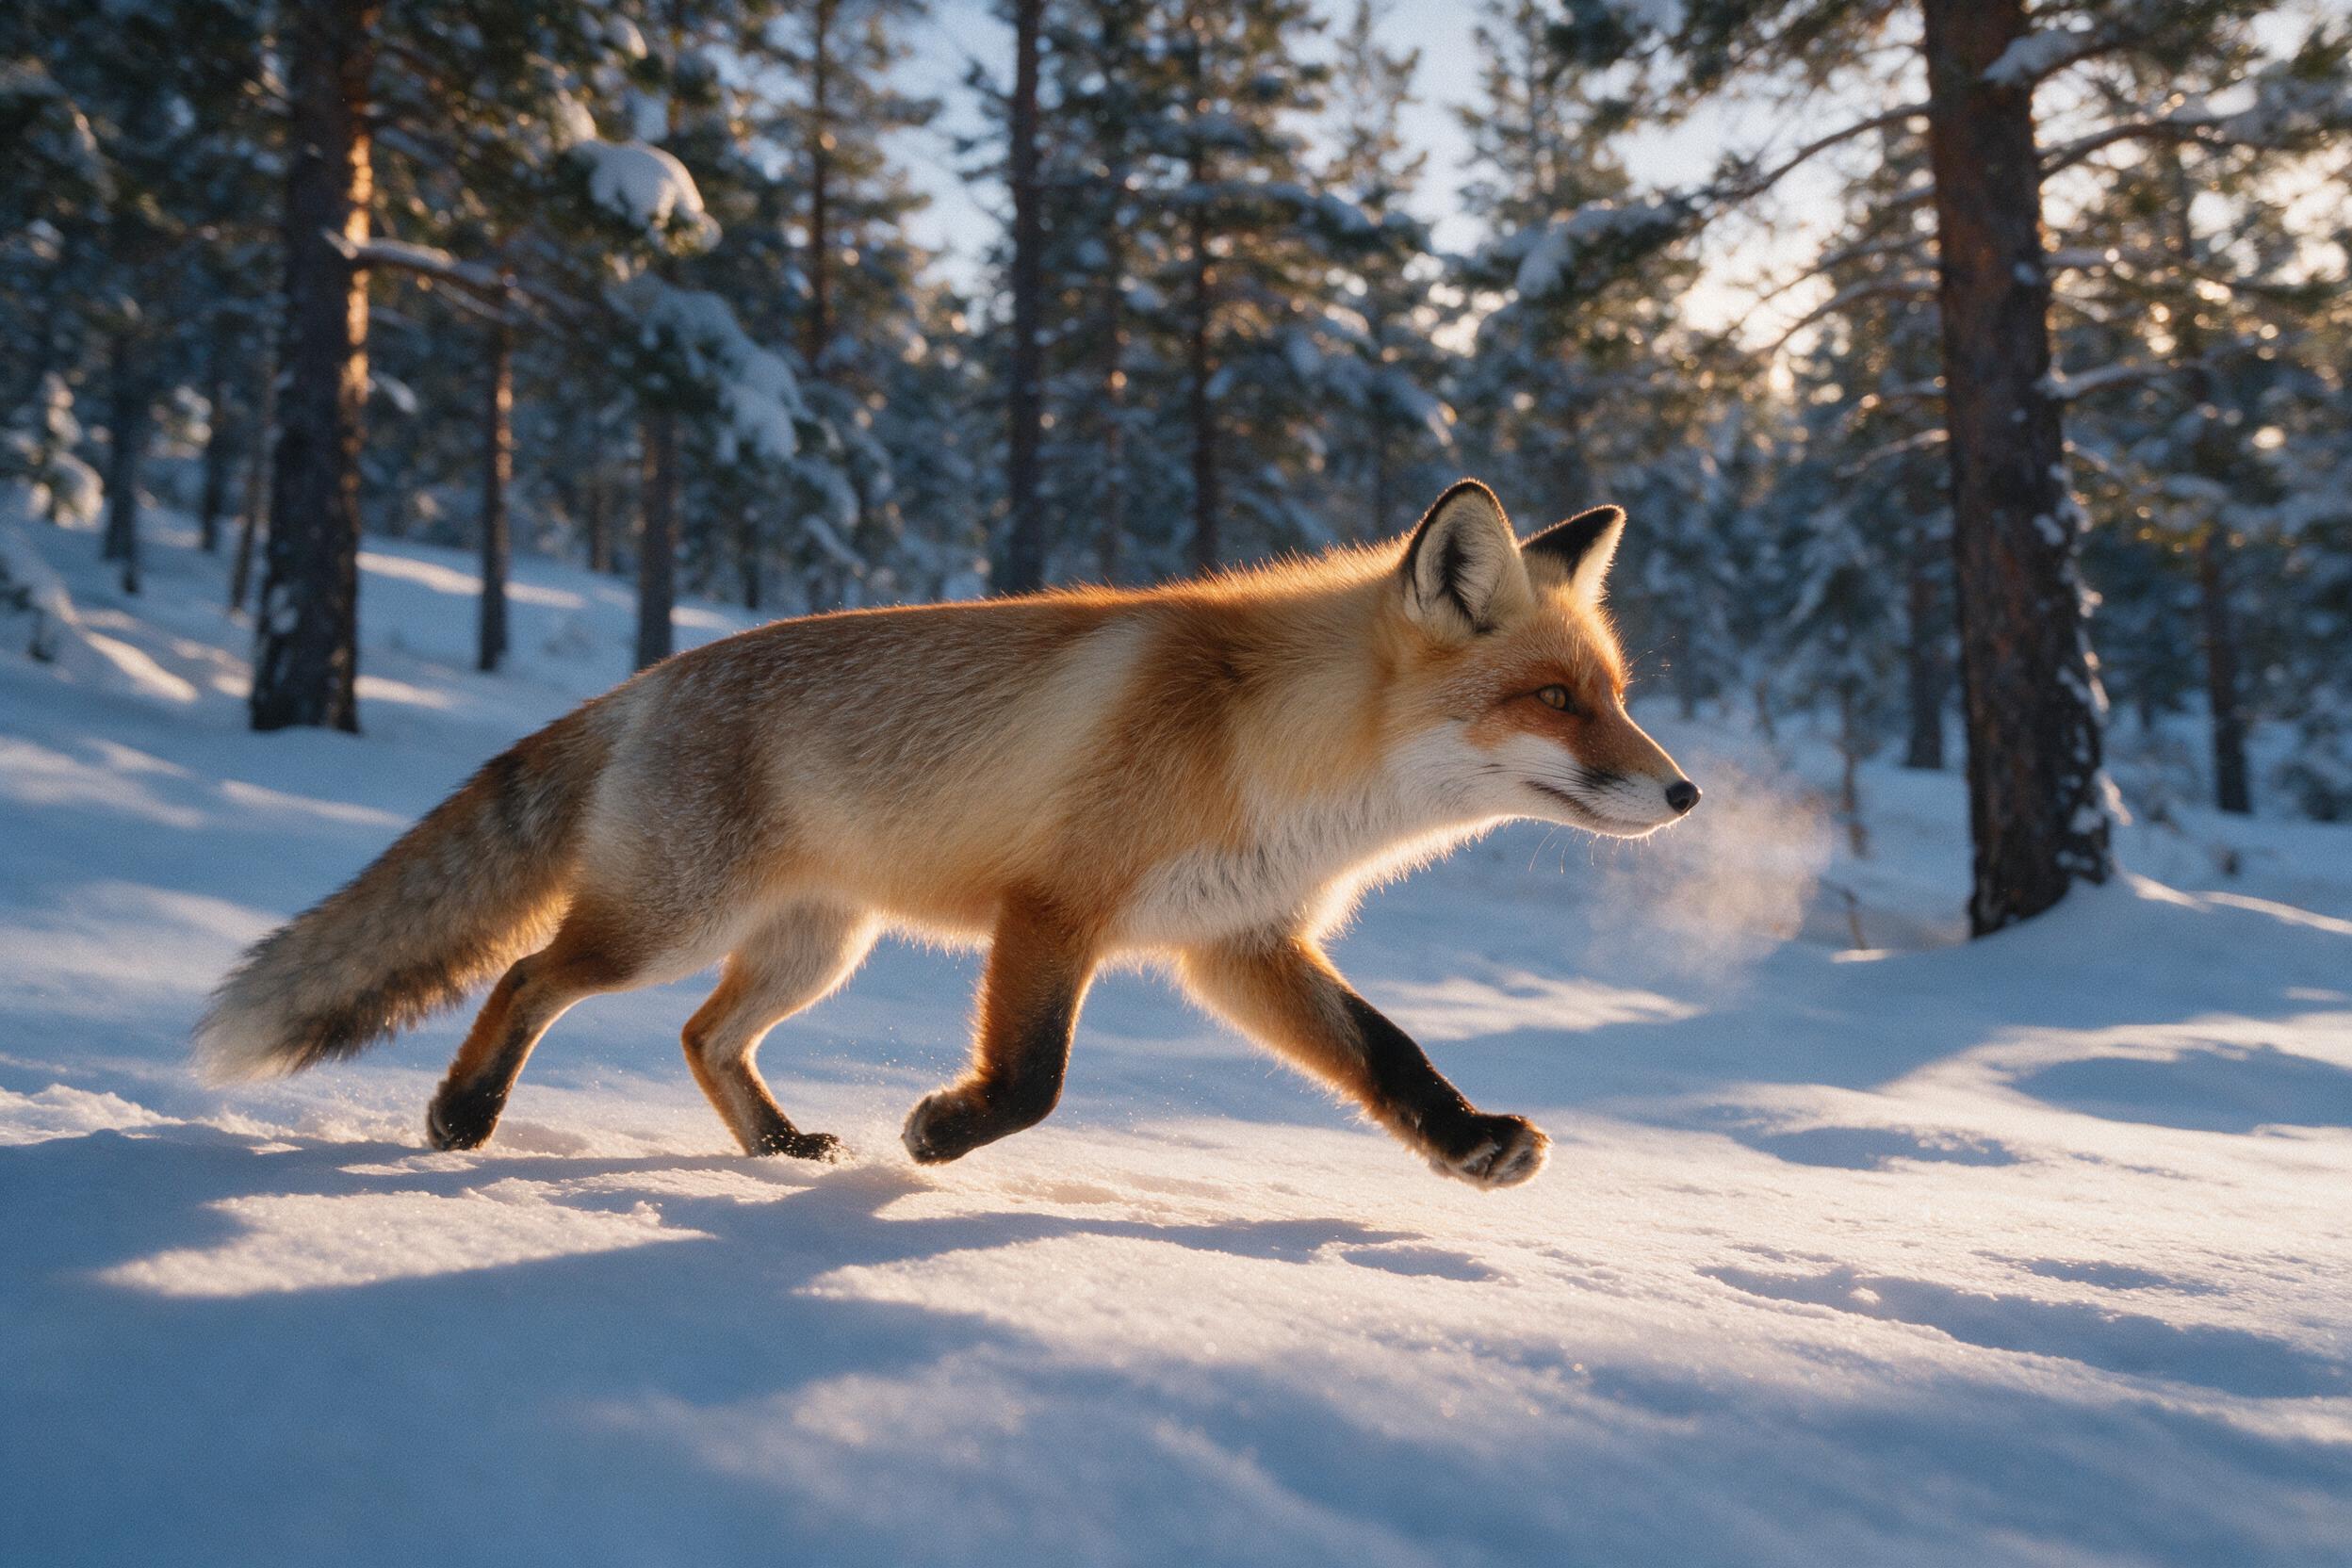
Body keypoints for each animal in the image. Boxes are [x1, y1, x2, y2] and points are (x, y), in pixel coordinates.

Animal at [195, 479, 1698, 1188]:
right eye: (1555, 701)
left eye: (1619, 695)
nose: (1685, 795)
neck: (1279, 757)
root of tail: (652, 677)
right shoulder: (1056, 909)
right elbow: (1032, 1080)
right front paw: (941, 1131)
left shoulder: (1238, 944)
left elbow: (1390, 1056)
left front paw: (1470, 1145)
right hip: (667, 924)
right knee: (527, 976)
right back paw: (464, 1113)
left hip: (815, 948)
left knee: (700, 1036)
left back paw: (773, 1145)